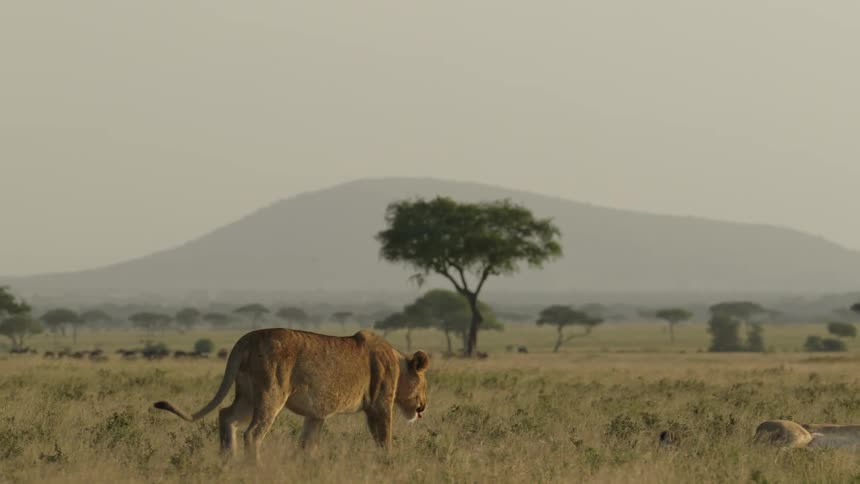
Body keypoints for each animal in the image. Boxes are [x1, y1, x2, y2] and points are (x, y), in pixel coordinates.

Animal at [153, 328, 429, 464]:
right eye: (425, 385)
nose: (423, 407)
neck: (398, 361)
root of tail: (246, 338)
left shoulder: (316, 414)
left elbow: (308, 443)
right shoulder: (379, 406)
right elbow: (384, 439)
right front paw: (389, 462)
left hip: (248, 395)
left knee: (226, 416)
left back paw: (227, 461)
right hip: (272, 393)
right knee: (252, 433)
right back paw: (255, 467)